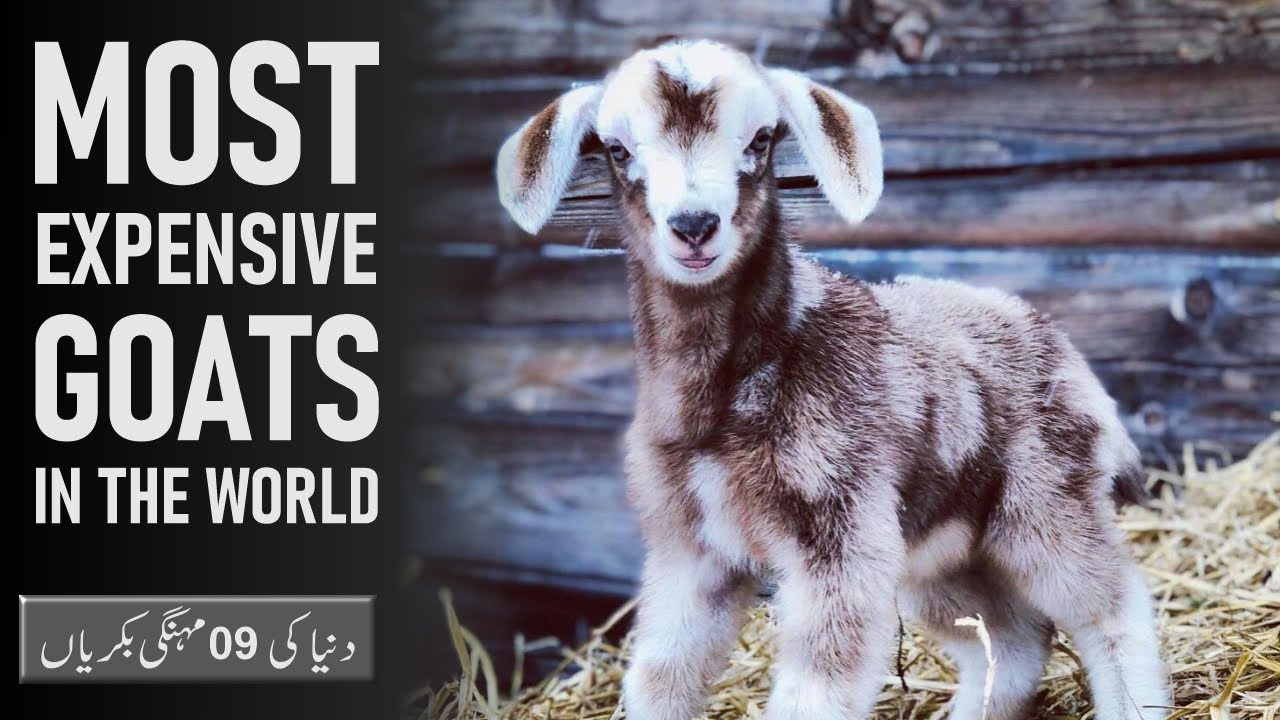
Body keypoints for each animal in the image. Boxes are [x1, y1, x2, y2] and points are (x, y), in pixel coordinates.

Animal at [496, 39, 1170, 720]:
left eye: (761, 140)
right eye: (617, 149)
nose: (693, 226)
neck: (731, 398)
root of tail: (1058, 341)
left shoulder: (838, 534)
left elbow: (816, 687)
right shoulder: (691, 548)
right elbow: (662, 676)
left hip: (1045, 501)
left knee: (1112, 607)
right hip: (939, 549)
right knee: (1012, 639)